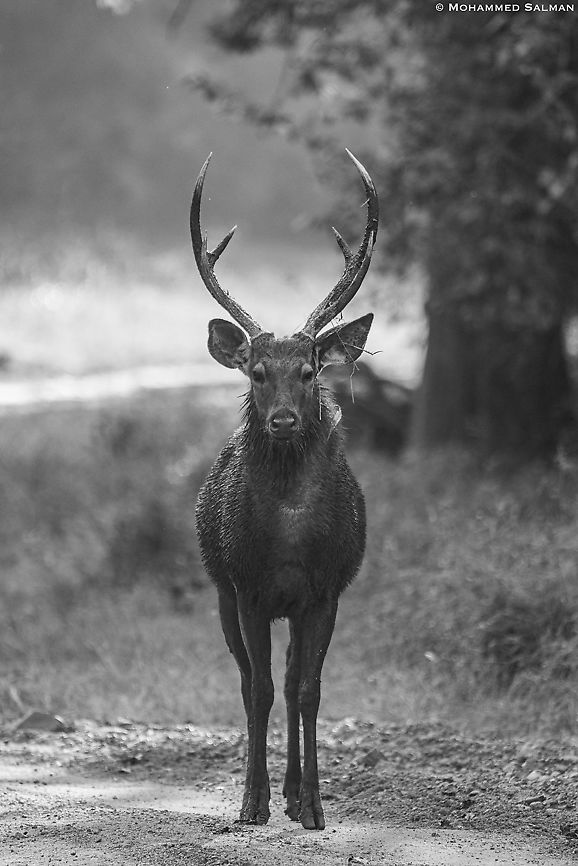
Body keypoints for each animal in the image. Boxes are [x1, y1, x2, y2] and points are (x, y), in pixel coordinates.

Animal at [192, 149, 378, 831]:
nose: (283, 420)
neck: (291, 538)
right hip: (223, 594)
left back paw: (298, 795)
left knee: (298, 681)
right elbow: (261, 689)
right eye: (255, 371)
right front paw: (252, 802)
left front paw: (316, 806)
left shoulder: (325, 591)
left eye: (308, 370)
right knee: (251, 682)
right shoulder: (246, 587)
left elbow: (307, 690)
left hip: (297, 609)